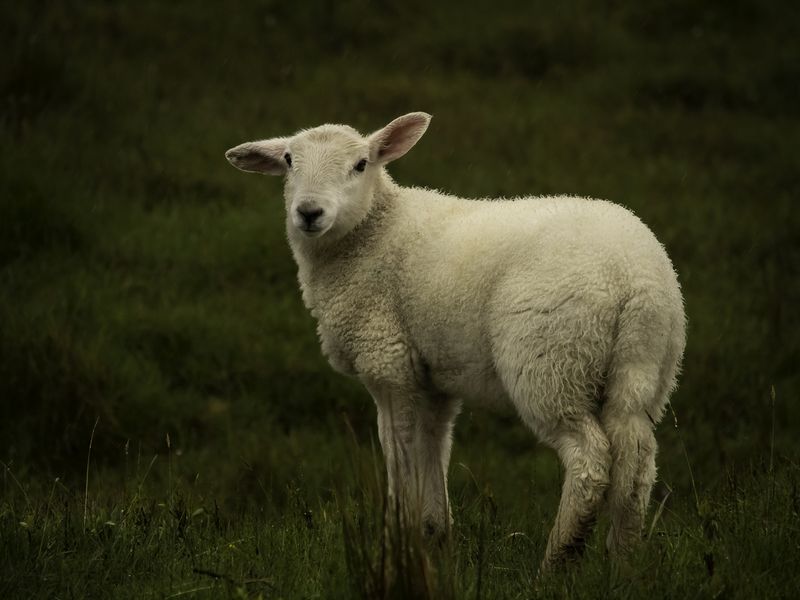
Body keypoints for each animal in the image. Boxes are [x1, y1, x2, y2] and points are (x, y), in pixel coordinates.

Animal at [227, 111, 688, 568]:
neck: (373, 234)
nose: (308, 212)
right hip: (646, 367)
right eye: (289, 161)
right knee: (637, 459)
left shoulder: (388, 364)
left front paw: (396, 544)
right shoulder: (434, 377)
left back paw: (557, 561)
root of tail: (631, 277)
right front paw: (433, 536)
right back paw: (622, 561)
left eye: (360, 164)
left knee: (588, 458)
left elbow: (400, 454)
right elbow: (433, 447)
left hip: (552, 359)